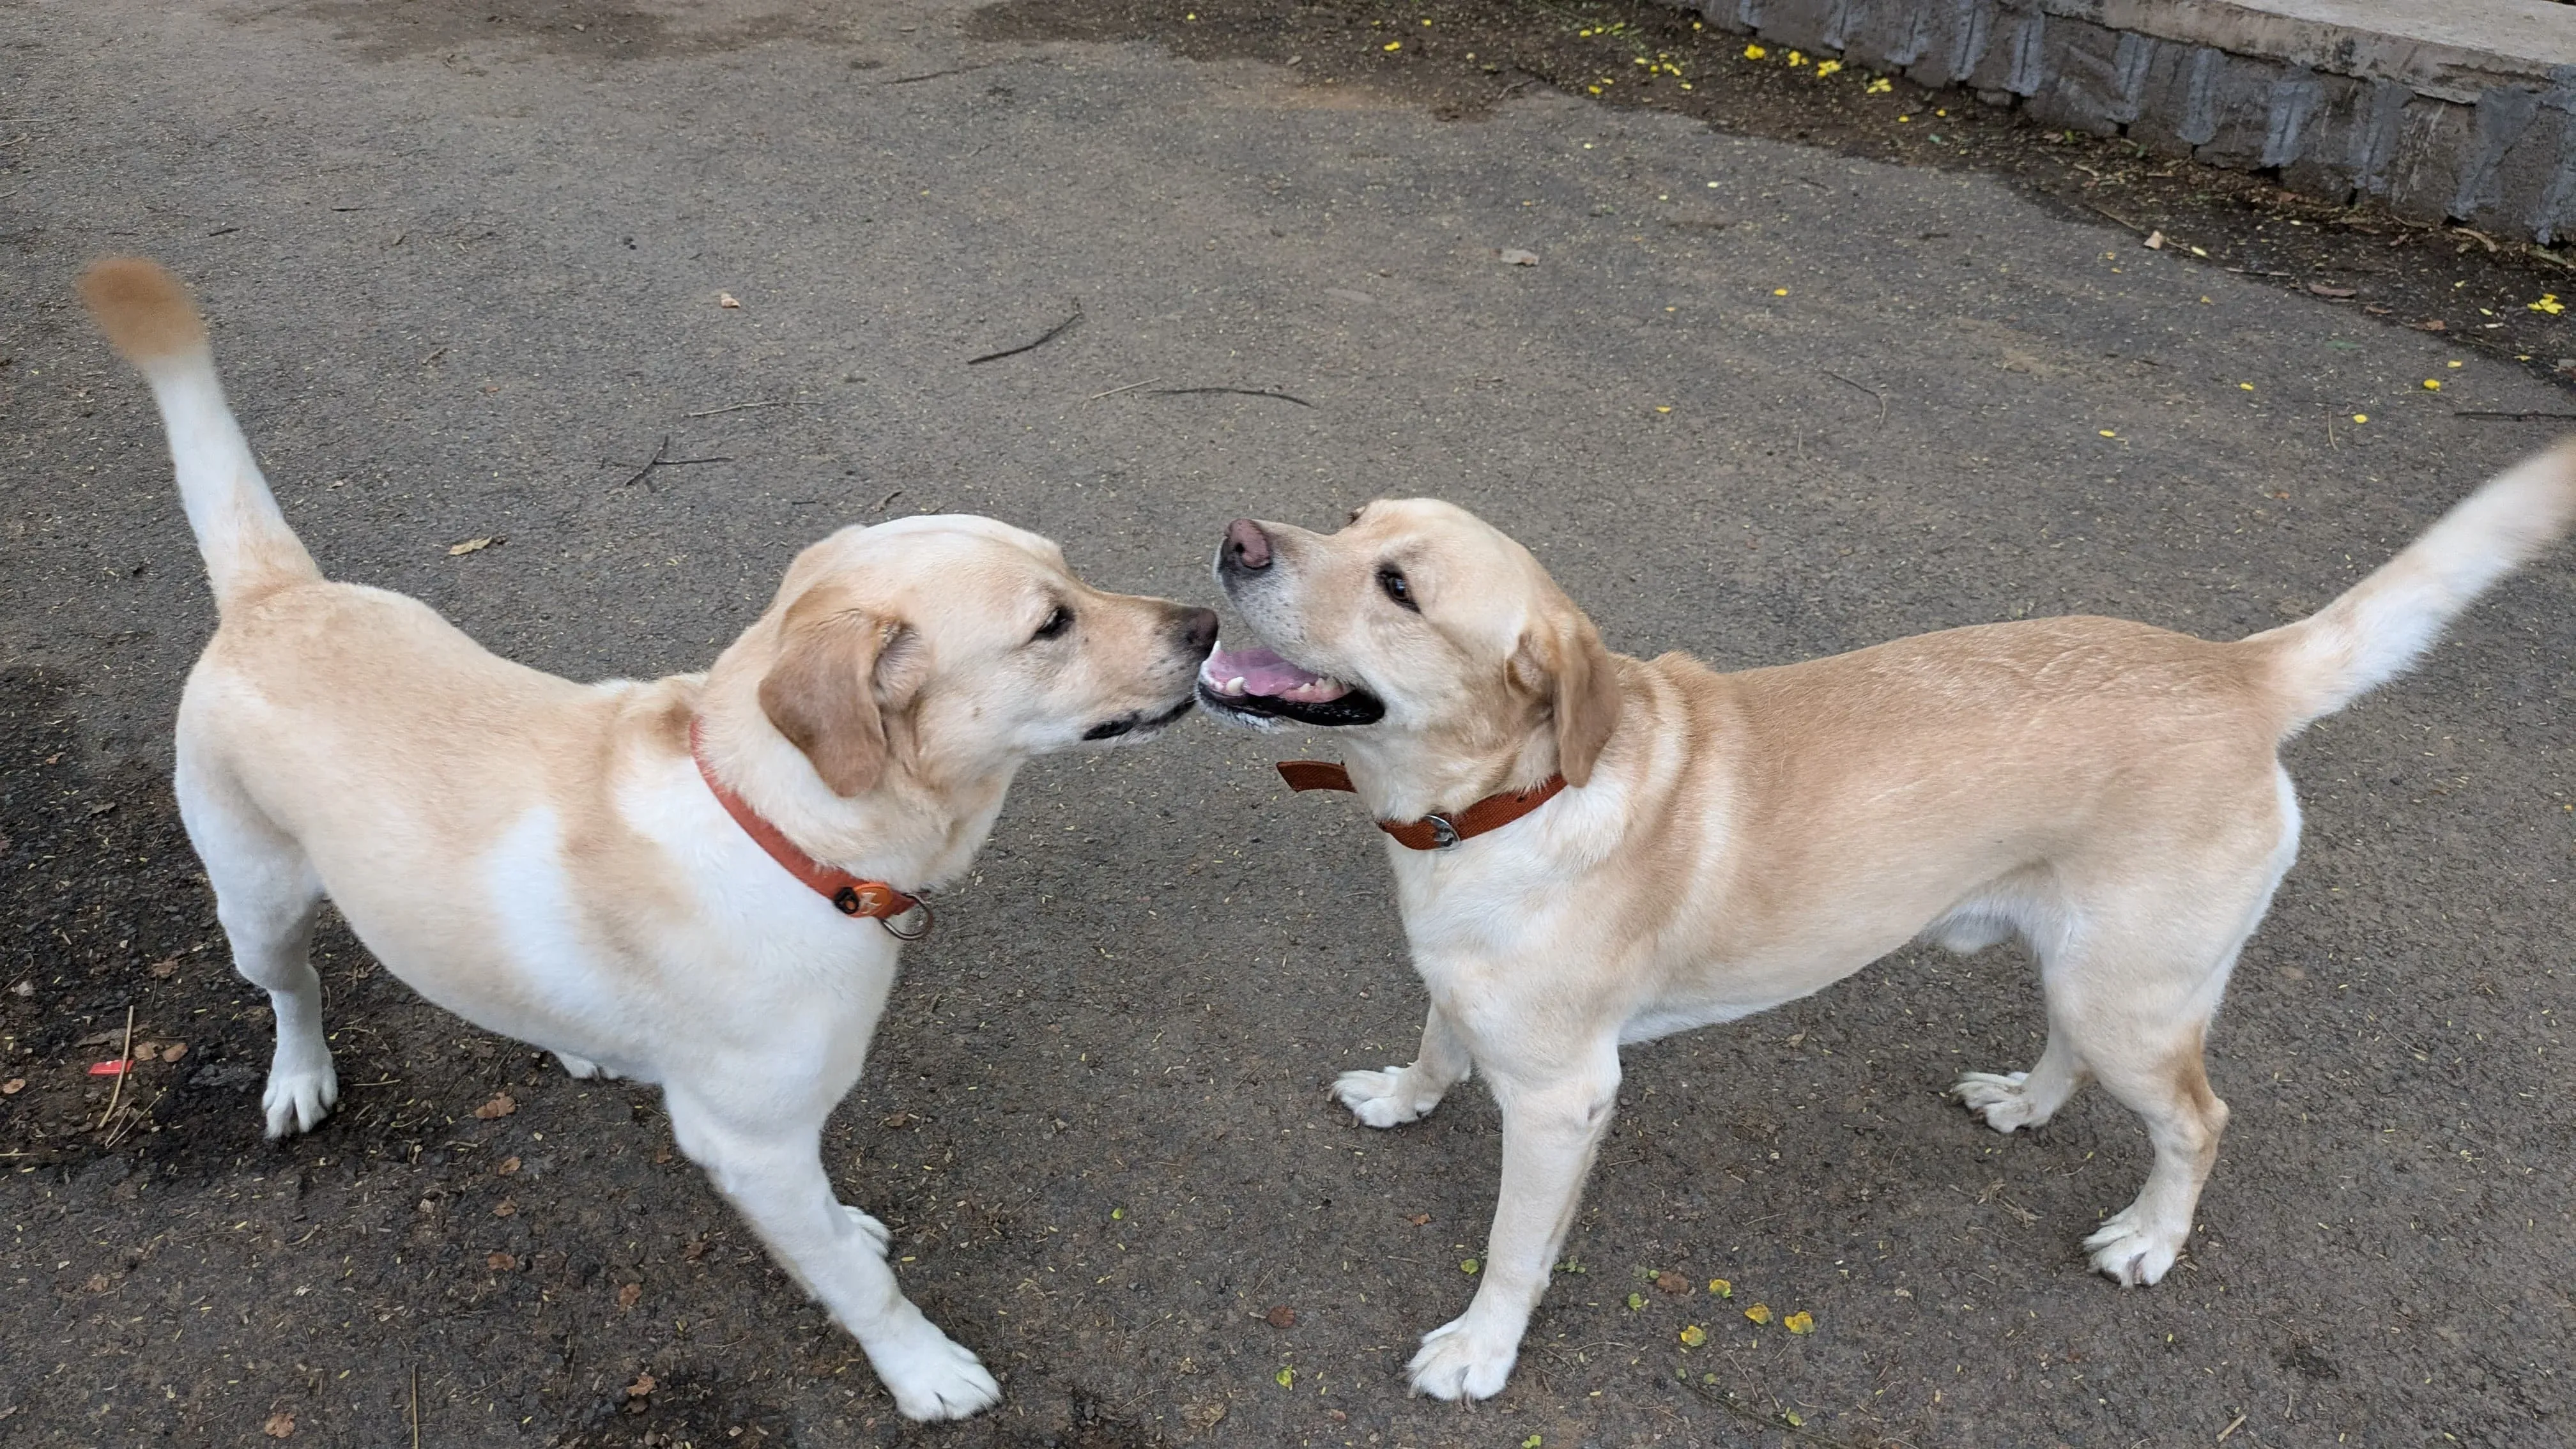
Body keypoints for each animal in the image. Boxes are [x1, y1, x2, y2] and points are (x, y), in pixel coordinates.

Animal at [73, 256, 1216, 1413]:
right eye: (1050, 625)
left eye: (1072, 572)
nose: (1211, 623)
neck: (781, 831)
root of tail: (276, 596)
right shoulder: (753, 1144)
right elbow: (859, 1284)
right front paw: (923, 1367)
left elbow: (836, 1237)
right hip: (255, 900)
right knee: (295, 988)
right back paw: (300, 1073)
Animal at [1195, 451, 2565, 1402]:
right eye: (1355, 517)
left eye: (1398, 587)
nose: (1236, 538)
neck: (1495, 800)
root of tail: (2234, 669)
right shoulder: (1462, 987)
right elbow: (1436, 1039)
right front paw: (1403, 1093)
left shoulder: (1561, 1096)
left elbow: (1512, 1247)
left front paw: (1481, 1350)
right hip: (2086, 971)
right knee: (2071, 1053)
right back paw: (2024, 1100)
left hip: (2135, 999)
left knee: (2198, 1119)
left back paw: (2148, 1239)